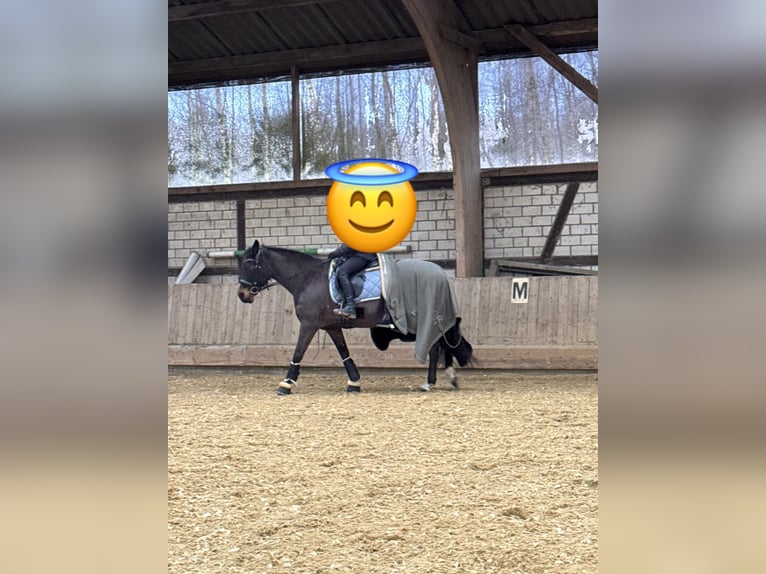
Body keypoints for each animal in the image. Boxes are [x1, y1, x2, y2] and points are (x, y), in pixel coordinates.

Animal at [237, 240, 472, 396]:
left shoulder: (309, 324)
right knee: (438, 345)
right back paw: (446, 377)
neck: (308, 278)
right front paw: (354, 383)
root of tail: (440, 274)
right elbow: (344, 353)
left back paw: (430, 382)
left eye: (248, 264)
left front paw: (286, 384)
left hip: (424, 318)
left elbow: (299, 351)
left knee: (434, 346)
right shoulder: (331, 326)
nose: (242, 294)